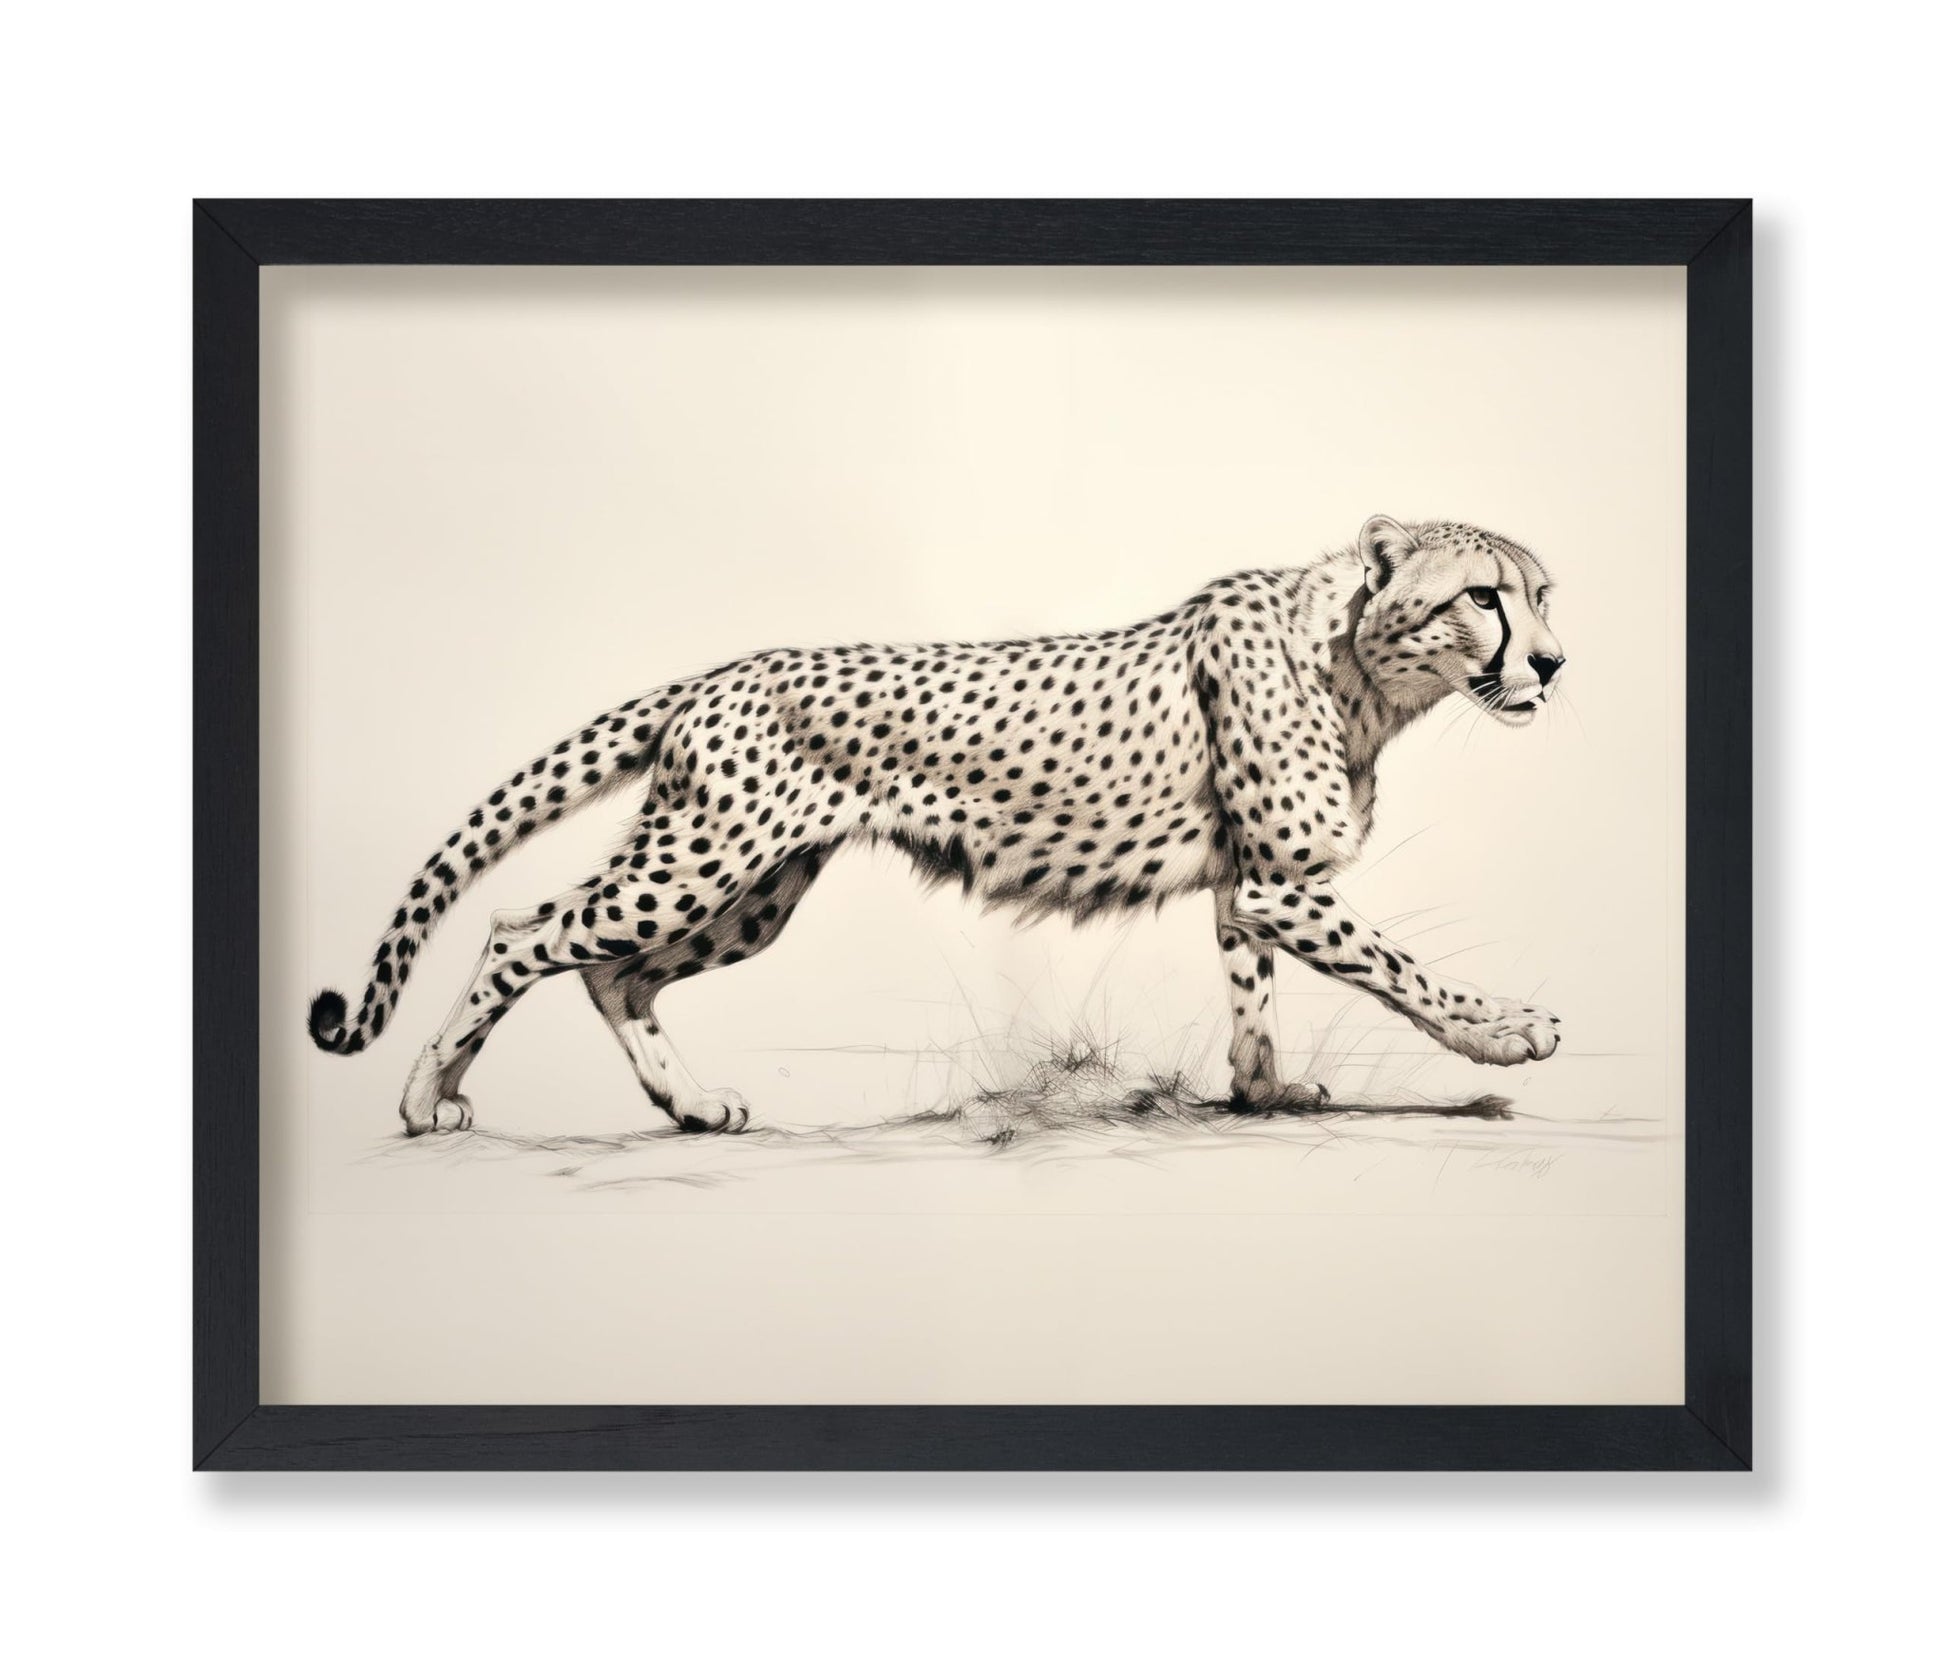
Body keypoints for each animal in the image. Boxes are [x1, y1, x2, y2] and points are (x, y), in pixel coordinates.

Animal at [309, 515, 1567, 1136]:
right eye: (1482, 596)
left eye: (1542, 593)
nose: (1552, 663)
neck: (1356, 659)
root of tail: (718, 671)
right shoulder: (1278, 882)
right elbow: (1402, 969)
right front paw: (1509, 1031)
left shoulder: (1246, 884)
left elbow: (1251, 995)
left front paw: (1263, 1092)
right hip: (699, 861)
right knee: (523, 928)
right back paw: (423, 1098)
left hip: (752, 891)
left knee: (613, 972)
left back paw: (691, 1105)